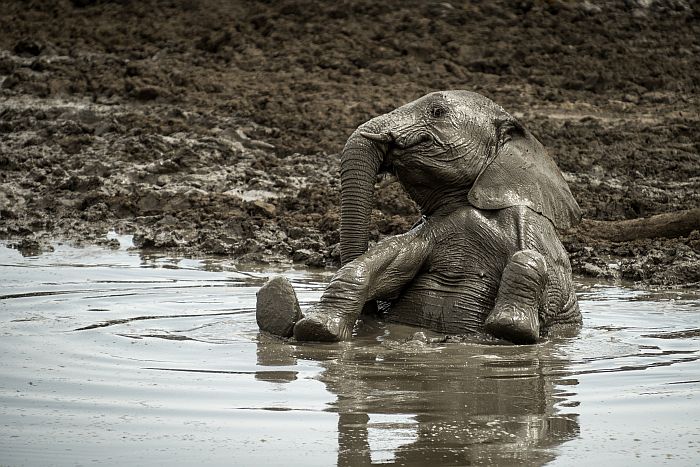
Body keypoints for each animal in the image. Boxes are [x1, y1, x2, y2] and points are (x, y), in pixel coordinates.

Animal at [257, 90, 582, 344]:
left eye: (437, 112)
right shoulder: (428, 233)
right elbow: (384, 261)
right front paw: (318, 328)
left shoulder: (528, 226)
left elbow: (539, 269)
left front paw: (512, 325)